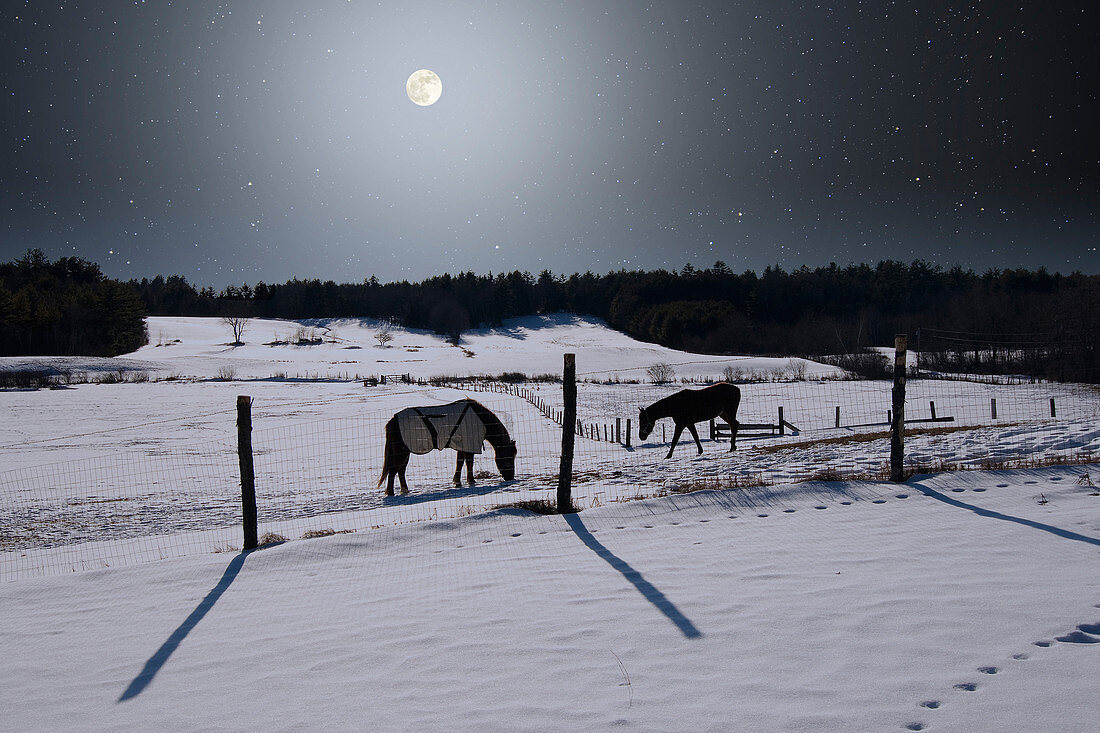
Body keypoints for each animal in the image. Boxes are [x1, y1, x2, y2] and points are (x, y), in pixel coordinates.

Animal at [376, 396, 517, 493]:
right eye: (508, 457)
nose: (510, 477)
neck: (480, 418)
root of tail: (393, 420)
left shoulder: (462, 446)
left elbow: (460, 462)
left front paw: (457, 482)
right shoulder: (469, 446)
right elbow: (469, 463)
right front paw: (471, 481)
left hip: (405, 451)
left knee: (400, 470)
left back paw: (404, 490)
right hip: (401, 451)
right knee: (394, 470)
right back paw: (390, 493)